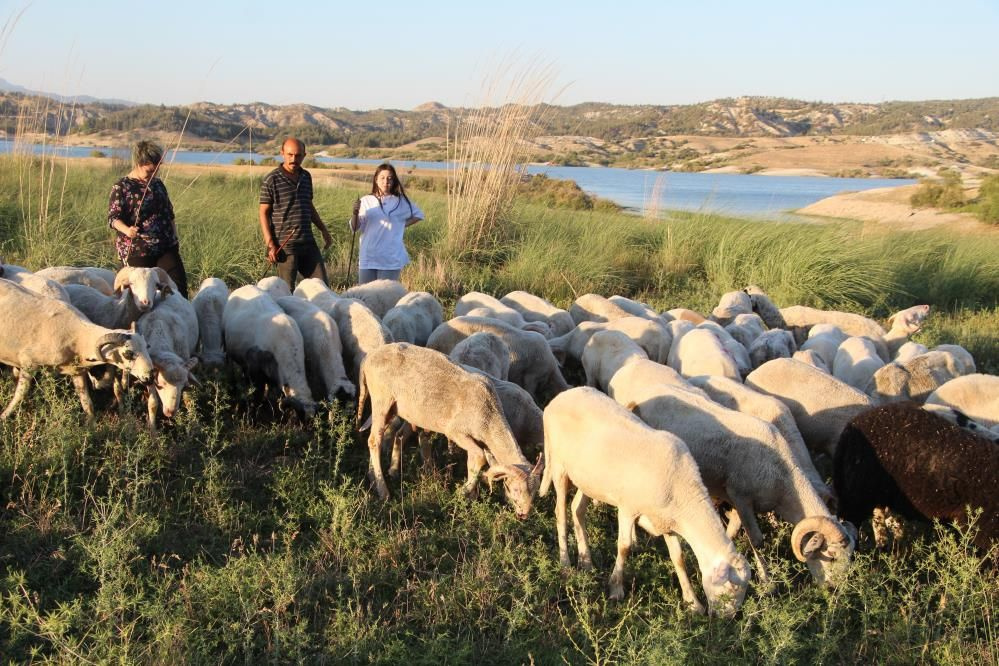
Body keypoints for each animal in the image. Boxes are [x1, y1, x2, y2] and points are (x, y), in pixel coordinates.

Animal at [0, 278, 154, 418]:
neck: (79, 337)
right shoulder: (29, 363)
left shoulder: (77, 372)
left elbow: (87, 404)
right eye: (128, 353)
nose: (150, 376)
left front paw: (91, 427)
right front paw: (5, 416)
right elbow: (20, 394)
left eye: (147, 347)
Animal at [354, 342, 540, 512]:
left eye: (534, 493)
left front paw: (472, 496)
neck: (490, 415)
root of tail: (369, 357)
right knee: (374, 441)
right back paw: (383, 490)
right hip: (381, 400)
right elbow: (479, 457)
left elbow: (475, 460)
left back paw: (376, 476)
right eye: (515, 489)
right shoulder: (457, 432)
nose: (524, 515)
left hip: (396, 408)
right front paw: (463, 491)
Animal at [540, 386, 752, 616]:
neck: (683, 492)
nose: (727, 619)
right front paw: (616, 588)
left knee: (577, 509)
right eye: (731, 589)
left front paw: (692, 602)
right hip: (559, 467)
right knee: (561, 514)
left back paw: (586, 561)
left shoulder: (666, 520)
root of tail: (560, 397)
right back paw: (566, 566)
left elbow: (679, 558)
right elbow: (624, 547)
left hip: (588, 479)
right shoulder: (627, 508)